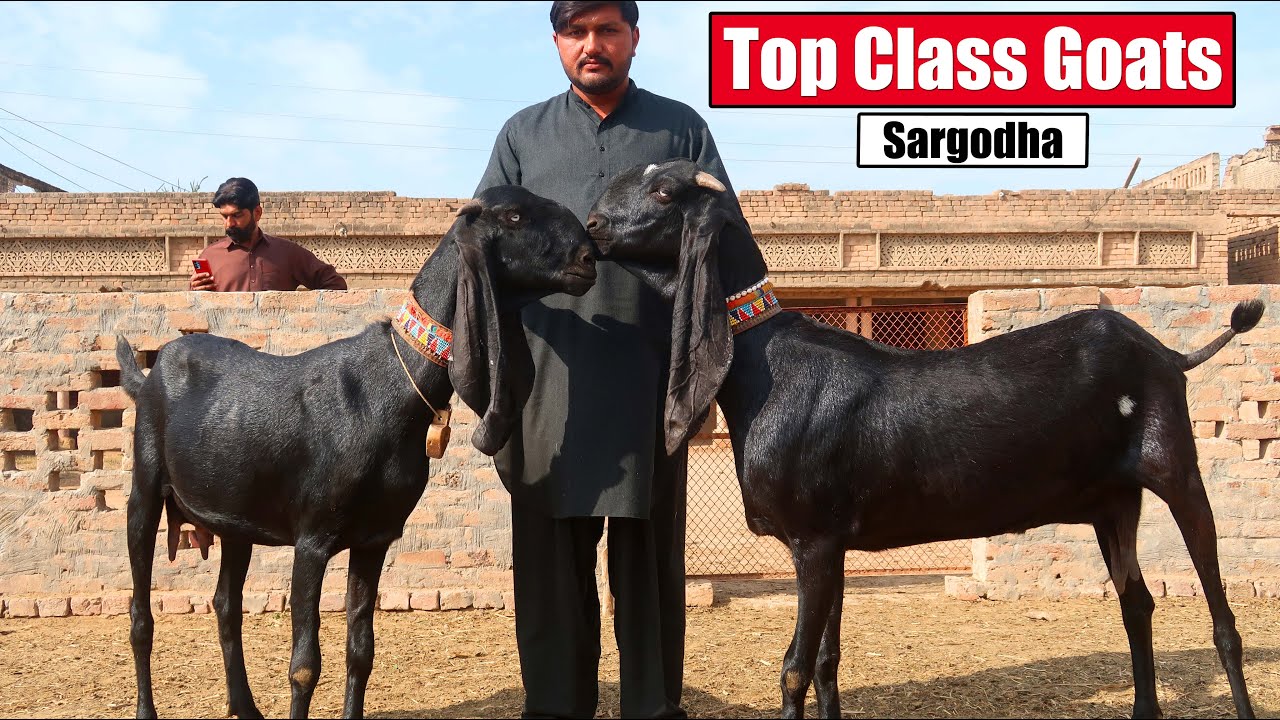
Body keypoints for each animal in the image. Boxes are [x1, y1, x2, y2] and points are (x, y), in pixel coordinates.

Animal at [117, 185, 597, 720]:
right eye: (514, 215)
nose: (587, 258)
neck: (390, 384)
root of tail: (149, 374)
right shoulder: (312, 539)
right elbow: (304, 665)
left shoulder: (375, 538)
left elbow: (361, 651)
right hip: (144, 491)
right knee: (140, 615)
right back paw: (146, 709)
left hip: (235, 517)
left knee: (225, 605)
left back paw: (245, 706)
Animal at [586, 158, 1261, 719]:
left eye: (663, 190)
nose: (592, 223)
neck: (767, 362)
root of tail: (1167, 353)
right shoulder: (834, 543)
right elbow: (828, 661)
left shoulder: (813, 540)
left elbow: (795, 668)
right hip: (1112, 502)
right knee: (1135, 602)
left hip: (1176, 469)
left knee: (1222, 618)